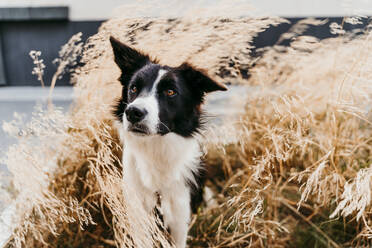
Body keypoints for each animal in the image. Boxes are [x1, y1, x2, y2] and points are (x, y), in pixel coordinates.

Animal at [109, 35, 227, 247]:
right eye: (134, 88)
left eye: (170, 92)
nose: (133, 112)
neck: (156, 148)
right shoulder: (138, 215)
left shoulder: (179, 216)